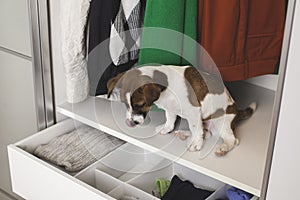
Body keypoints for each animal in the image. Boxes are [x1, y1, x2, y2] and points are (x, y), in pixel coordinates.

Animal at [106, 65, 256, 156]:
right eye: (125, 104)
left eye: (140, 105)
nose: (131, 123)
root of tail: (236, 113)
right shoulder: (171, 109)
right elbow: (170, 119)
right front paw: (167, 128)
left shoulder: (194, 112)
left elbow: (196, 129)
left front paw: (196, 144)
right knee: (206, 133)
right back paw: (184, 133)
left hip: (221, 124)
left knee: (232, 140)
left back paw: (223, 148)